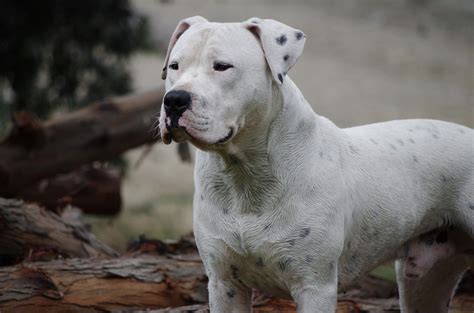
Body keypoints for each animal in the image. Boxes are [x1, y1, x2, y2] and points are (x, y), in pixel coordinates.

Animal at [160, 17, 474, 312]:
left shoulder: (314, 286)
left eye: (223, 66)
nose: (174, 99)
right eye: (174, 65)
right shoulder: (225, 284)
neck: (244, 175)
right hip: (425, 283)